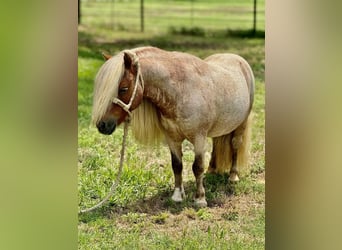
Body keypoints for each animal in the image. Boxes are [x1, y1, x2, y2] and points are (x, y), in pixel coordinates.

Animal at [91, 46, 254, 207]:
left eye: (123, 88)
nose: (102, 125)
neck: (181, 91)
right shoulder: (172, 138)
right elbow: (177, 165)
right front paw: (177, 196)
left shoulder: (199, 138)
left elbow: (197, 167)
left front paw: (200, 199)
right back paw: (212, 170)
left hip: (242, 124)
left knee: (235, 146)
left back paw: (233, 176)